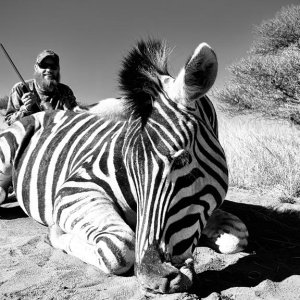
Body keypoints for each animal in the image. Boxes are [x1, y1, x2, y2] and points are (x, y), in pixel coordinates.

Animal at [0, 39, 248, 292]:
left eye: (182, 160)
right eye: (128, 163)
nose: (154, 277)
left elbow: (238, 236)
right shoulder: (74, 189)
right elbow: (120, 249)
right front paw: (56, 232)